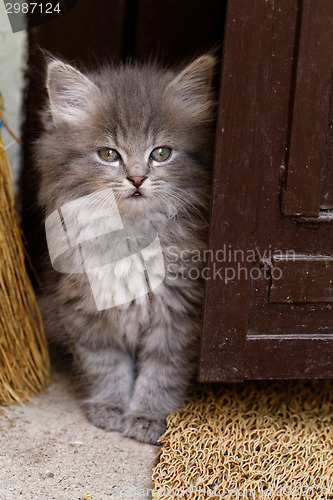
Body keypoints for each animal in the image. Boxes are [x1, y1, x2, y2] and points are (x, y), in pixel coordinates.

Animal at [34, 53, 215, 446]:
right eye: (108, 154)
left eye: (161, 153)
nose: (136, 178)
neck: (131, 234)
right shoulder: (85, 309)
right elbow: (106, 365)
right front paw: (110, 408)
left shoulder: (179, 313)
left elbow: (162, 371)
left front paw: (147, 416)